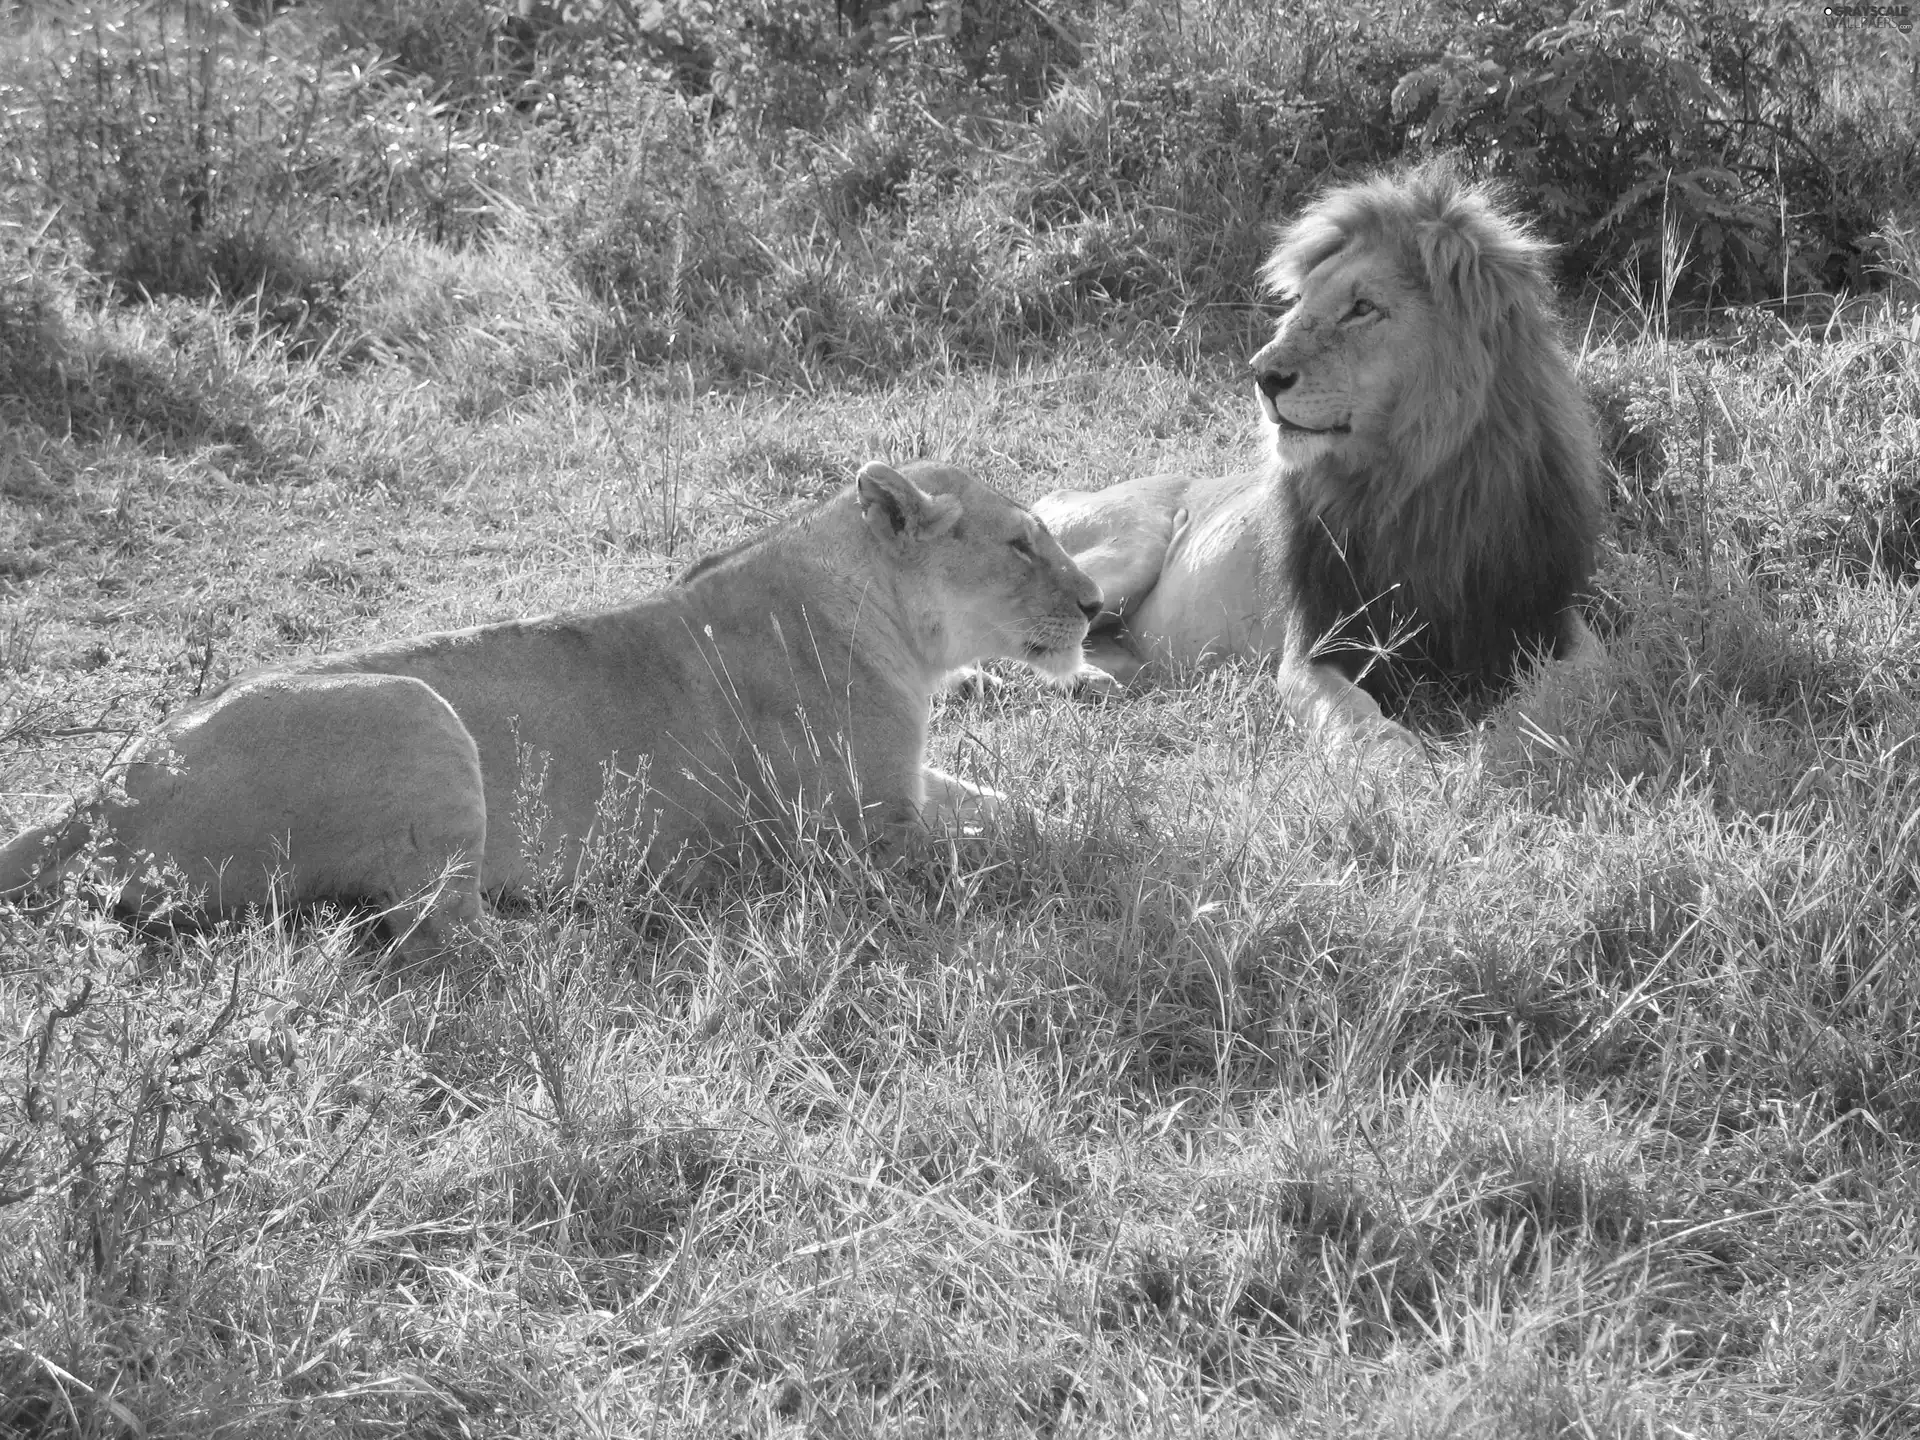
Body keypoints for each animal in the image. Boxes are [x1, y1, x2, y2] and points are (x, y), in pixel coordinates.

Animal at [0, 464, 1098, 960]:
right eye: (1019, 545)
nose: (1096, 606)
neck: (893, 622)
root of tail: (99, 790)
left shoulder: (905, 785)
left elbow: (1010, 809)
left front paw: (1075, 819)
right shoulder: (861, 834)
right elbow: (1000, 847)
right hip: (417, 711)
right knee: (433, 927)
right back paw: (606, 923)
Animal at [1036, 159, 1605, 748]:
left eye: (1362, 308)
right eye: (1300, 303)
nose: (1260, 374)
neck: (1415, 485)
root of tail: (1062, 492)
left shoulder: (1546, 615)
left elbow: (1574, 687)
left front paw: (1516, 739)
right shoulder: (1314, 647)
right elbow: (1359, 725)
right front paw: (1413, 769)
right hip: (1125, 549)